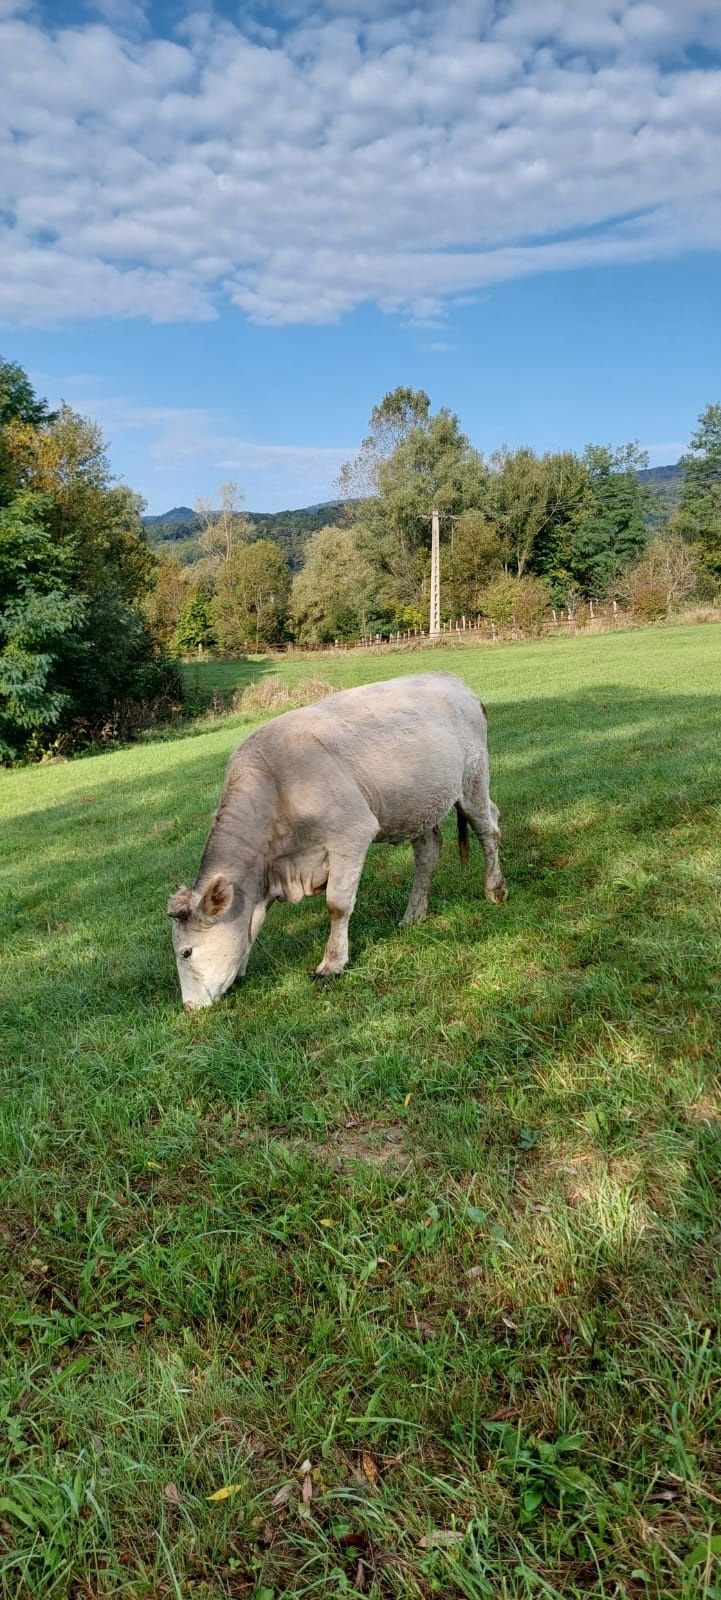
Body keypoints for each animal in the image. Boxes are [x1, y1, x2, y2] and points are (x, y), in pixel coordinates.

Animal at [169, 678, 508, 1011]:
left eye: (186, 952)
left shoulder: (352, 832)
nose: (189, 1007)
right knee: (428, 851)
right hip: (415, 806)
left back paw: (495, 889)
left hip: (473, 779)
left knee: (488, 828)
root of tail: (454, 681)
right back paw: (413, 915)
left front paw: (332, 963)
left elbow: (337, 905)